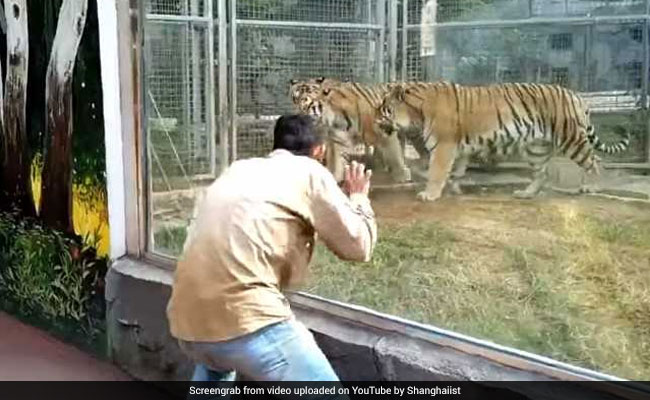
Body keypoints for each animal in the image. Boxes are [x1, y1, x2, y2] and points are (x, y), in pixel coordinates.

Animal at [374, 81, 628, 202]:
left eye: (383, 109)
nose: (375, 121)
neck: (416, 112)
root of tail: (576, 95)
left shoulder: (444, 146)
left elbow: (437, 172)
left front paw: (430, 194)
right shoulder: (460, 149)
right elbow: (457, 171)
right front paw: (455, 188)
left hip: (571, 139)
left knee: (596, 162)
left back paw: (592, 186)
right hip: (535, 148)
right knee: (542, 174)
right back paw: (525, 194)